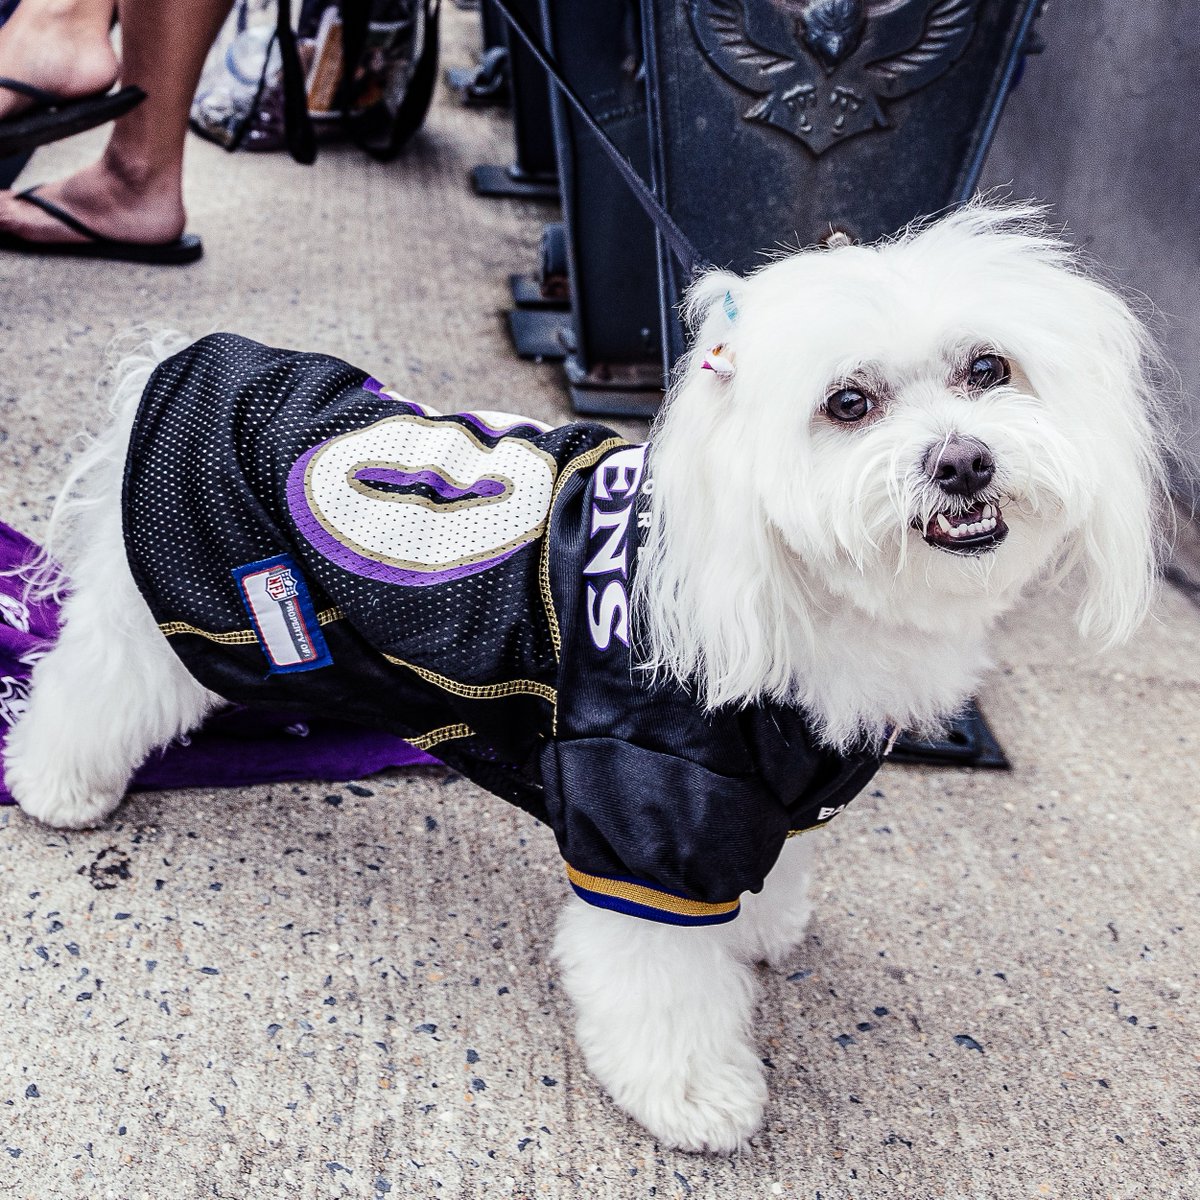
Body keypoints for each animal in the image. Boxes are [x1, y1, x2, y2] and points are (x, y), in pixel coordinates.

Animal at [0, 204, 1161, 1152]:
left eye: (990, 370)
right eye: (848, 403)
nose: (962, 461)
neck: (787, 589)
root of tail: (187, 354)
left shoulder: (756, 795)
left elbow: (768, 870)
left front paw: (761, 925)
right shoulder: (643, 814)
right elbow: (660, 988)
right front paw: (694, 1095)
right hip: (188, 614)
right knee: (88, 686)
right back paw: (56, 782)